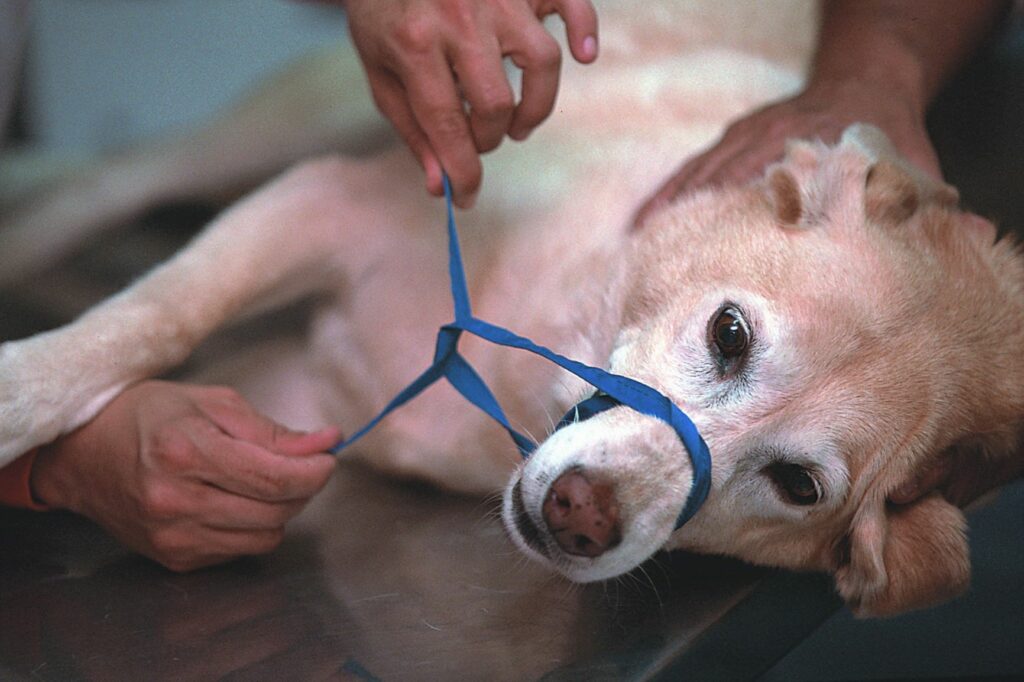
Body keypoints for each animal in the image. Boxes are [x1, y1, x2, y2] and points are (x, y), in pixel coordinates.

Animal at [2, 1, 1024, 614]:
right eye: (730, 334)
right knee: (110, 182)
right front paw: (25, 389)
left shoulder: (300, 398)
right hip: (298, 119)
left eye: (799, 486)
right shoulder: (324, 198)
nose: (581, 517)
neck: (530, 352)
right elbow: (159, 313)